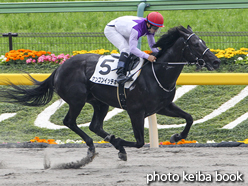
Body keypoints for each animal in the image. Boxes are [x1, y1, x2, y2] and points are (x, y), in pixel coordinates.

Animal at [0, 25, 220, 161]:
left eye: (202, 41)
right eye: (195, 44)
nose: (216, 61)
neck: (156, 73)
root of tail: (60, 67)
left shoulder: (163, 106)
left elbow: (189, 118)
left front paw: (176, 137)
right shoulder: (136, 111)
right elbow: (140, 142)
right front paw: (119, 142)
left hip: (100, 102)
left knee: (94, 125)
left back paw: (109, 144)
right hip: (77, 100)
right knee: (70, 122)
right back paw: (95, 145)